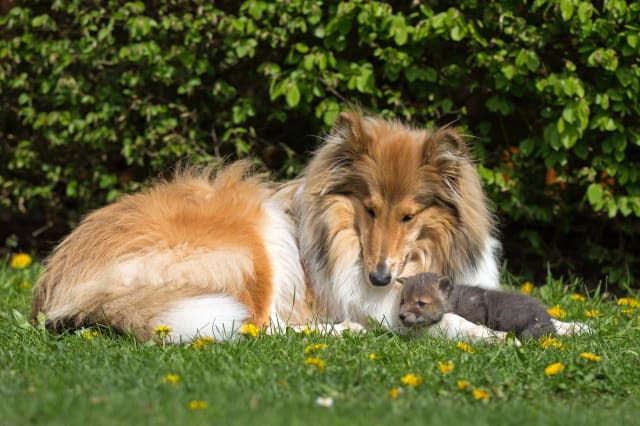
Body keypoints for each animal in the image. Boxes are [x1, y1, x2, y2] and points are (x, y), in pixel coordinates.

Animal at [32, 111, 576, 342]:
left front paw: (574, 327)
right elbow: (446, 322)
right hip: (256, 234)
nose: (379, 277)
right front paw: (491, 336)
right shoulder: (379, 302)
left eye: (408, 215)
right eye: (370, 210)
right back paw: (343, 332)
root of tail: (61, 281)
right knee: (259, 327)